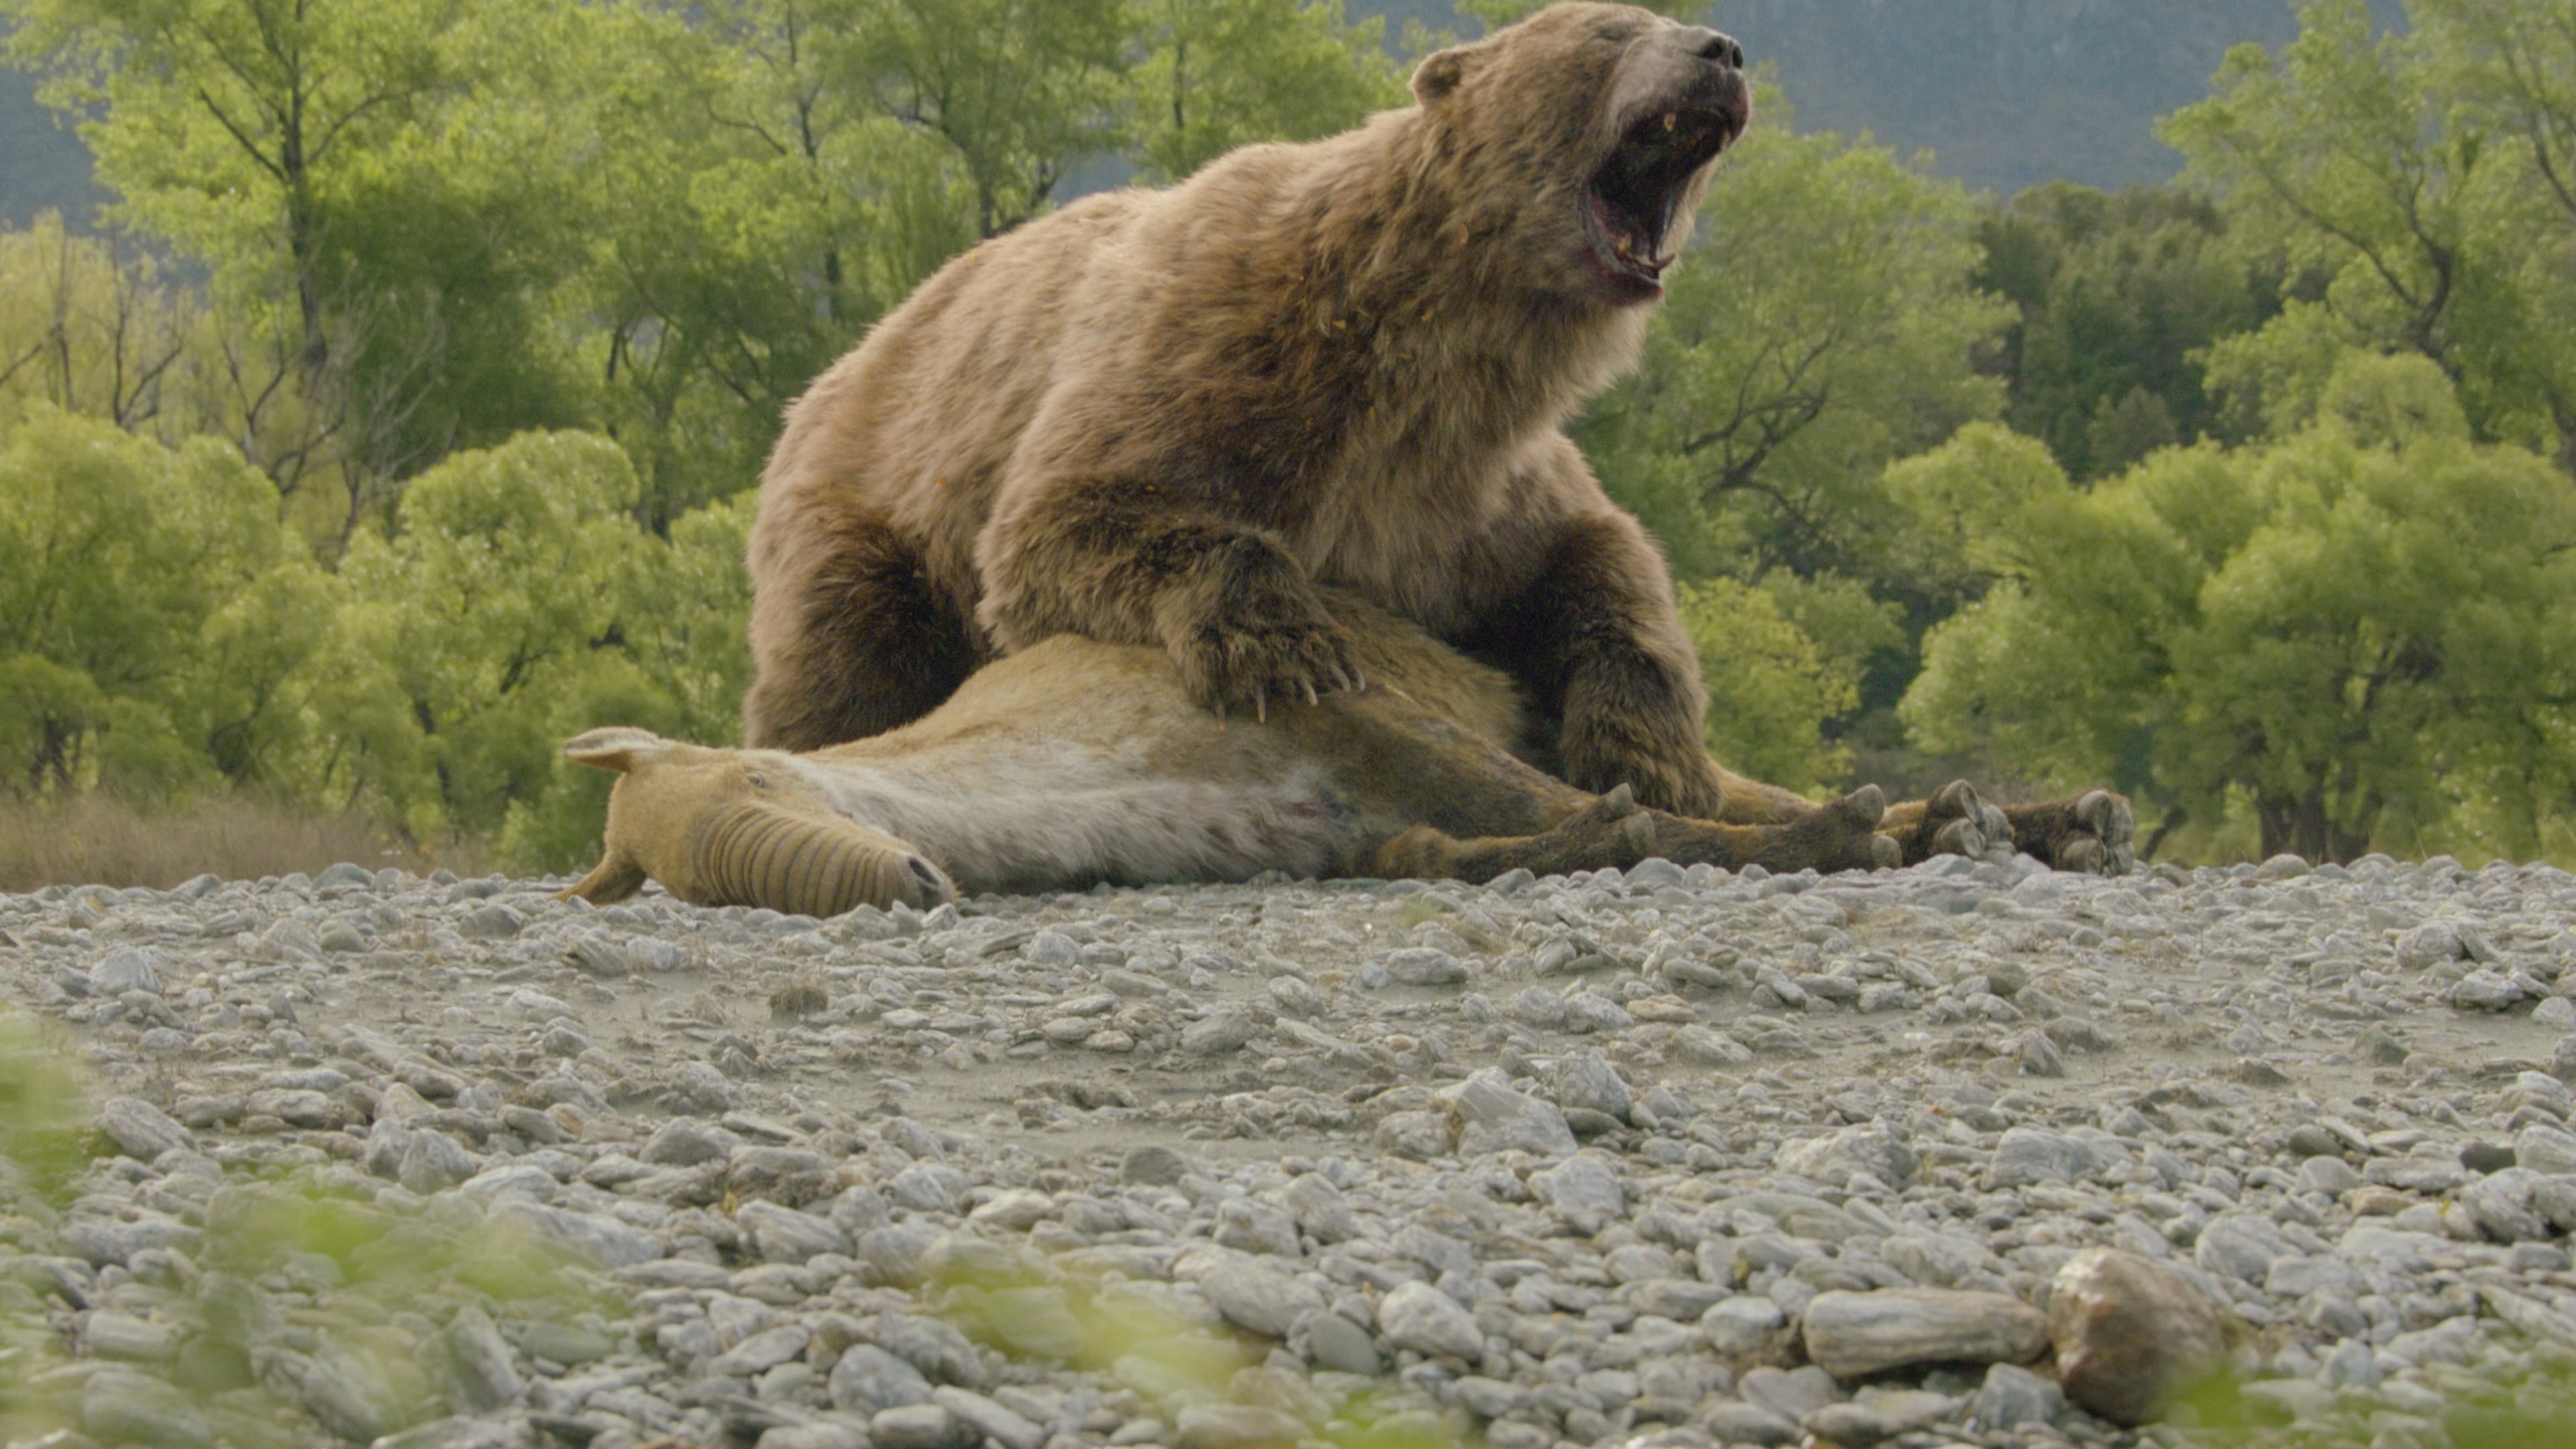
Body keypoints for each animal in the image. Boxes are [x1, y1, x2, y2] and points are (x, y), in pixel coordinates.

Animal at [744, 2, 1755, 820]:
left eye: (1665, 16)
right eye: (1611, 30)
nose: (1723, 50)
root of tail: (843, 361)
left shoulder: (1470, 487)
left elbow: (1601, 558)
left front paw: (1656, 758)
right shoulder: (1212, 358)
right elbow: (1067, 520)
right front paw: (1286, 649)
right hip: (869, 503)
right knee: (847, 656)